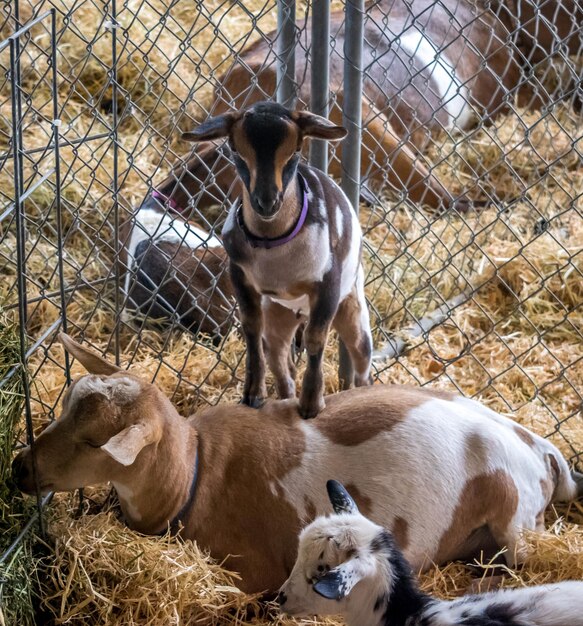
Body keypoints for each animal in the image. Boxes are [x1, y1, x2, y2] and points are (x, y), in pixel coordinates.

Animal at [12, 332, 583, 588]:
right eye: (65, 405)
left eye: (96, 442)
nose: (20, 468)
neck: (193, 474)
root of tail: (541, 448)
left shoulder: (253, 574)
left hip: (517, 524)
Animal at [184, 101, 374, 414]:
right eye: (234, 149)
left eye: (296, 149)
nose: (267, 202)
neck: (273, 245)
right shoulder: (239, 276)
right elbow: (251, 329)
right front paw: (252, 395)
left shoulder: (328, 283)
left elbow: (316, 338)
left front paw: (312, 404)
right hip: (279, 315)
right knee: (281, 362)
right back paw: (284, 399)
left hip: (352, 305)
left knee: (362, 361)